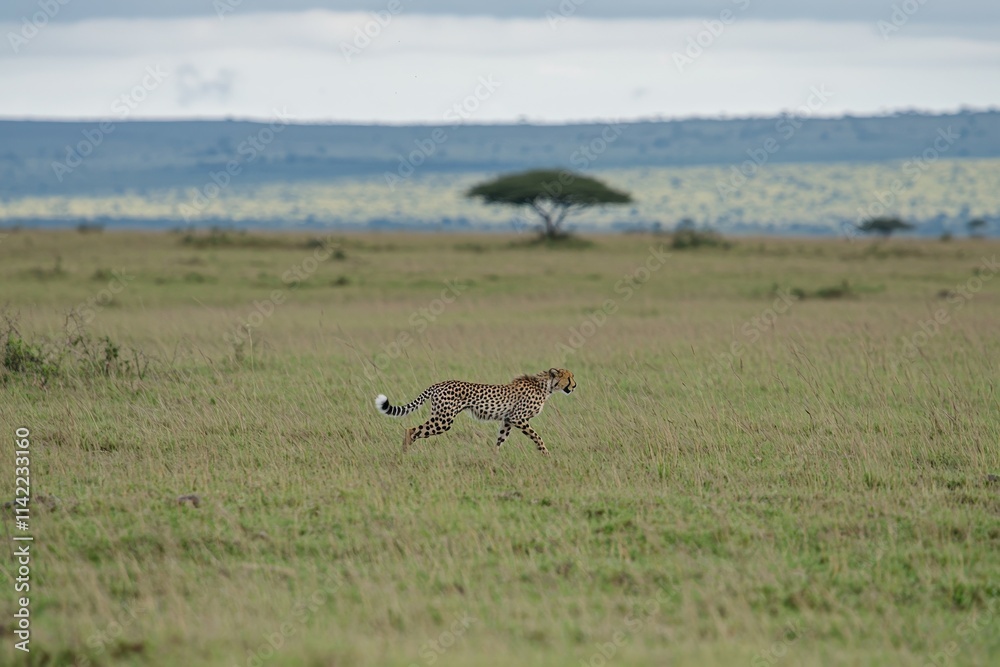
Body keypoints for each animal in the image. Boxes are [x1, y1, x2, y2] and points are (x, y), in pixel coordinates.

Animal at [374, 368, 576, 454]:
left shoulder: (508, 420)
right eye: (569, 377)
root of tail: (439, 384)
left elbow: (500, 439)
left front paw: (493, 456)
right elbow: (537, 437)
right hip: (443, 420)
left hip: (441, 418)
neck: (545, 386)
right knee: (411, 430)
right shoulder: (519, 418)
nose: (575, 385)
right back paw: (405, 452)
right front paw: (546, 453)